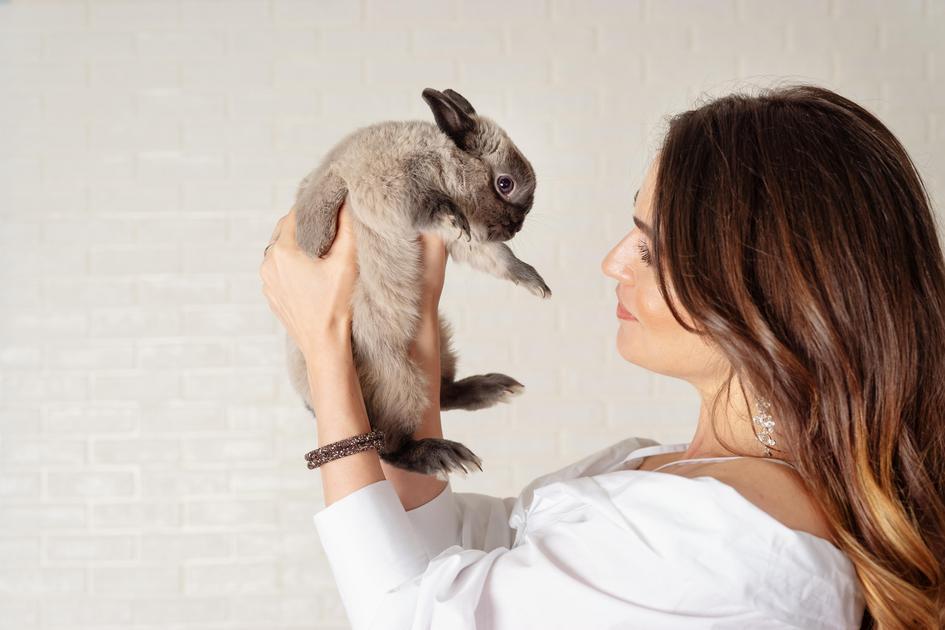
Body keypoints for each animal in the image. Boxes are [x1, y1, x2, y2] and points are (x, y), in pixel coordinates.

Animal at [284, 87, 551, 479]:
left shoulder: (463, 242)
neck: (437, 161)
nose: (516, 227)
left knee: (444, 394)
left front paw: (535, 283)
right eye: (505, 184)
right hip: (397, 379)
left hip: (441, 346)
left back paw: (493, 389)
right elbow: (433, 208)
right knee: (390, 446)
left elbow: (497, 257)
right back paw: (442, 454)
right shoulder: (393, 193)